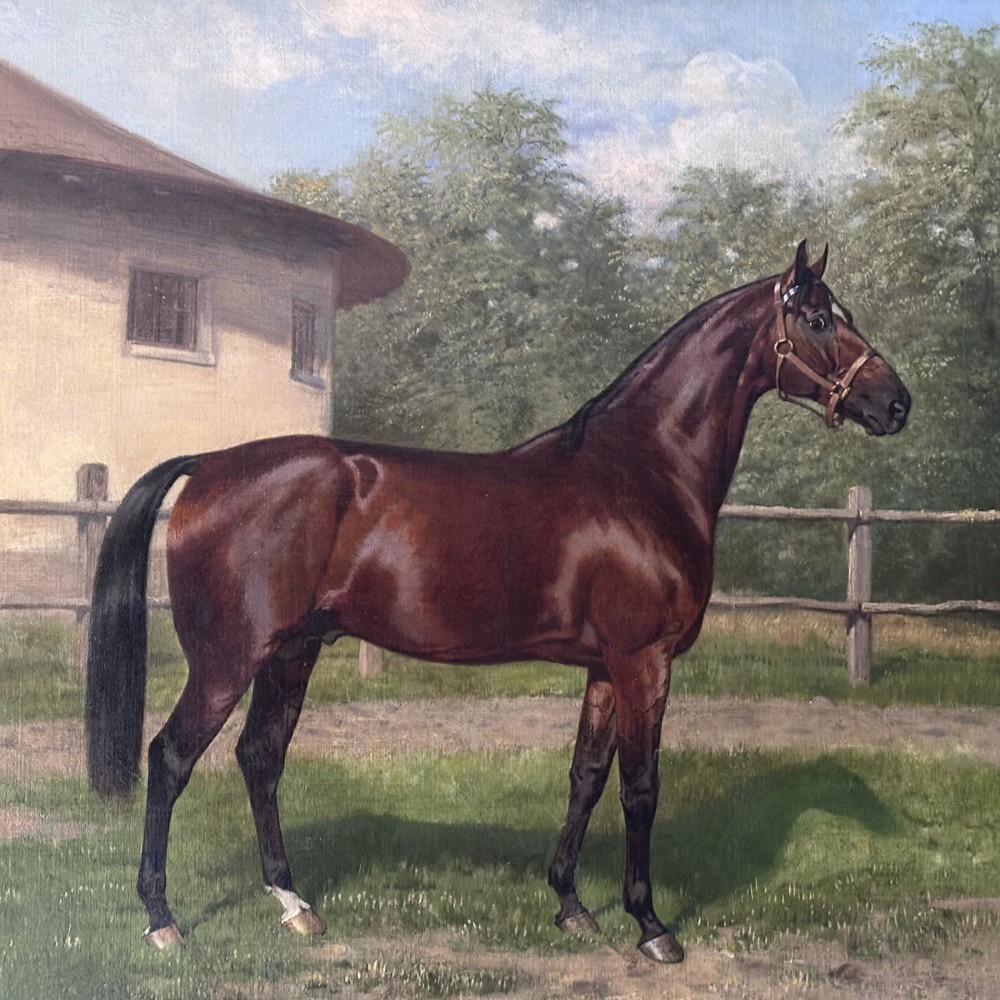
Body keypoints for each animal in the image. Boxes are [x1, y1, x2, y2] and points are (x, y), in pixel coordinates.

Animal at [85, 241, 909, 963]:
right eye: (820, 319)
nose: (896, 403)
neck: (641, 473)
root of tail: (211, 465)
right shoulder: (643, 661)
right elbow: (640, 787)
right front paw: (650, 926)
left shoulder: (604, 668)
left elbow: (586, 775)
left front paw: (571, 907)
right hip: (229, 658)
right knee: (171, 757)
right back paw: (162, 921)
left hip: (293, 649)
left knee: (260, 757)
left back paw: (295, 905)